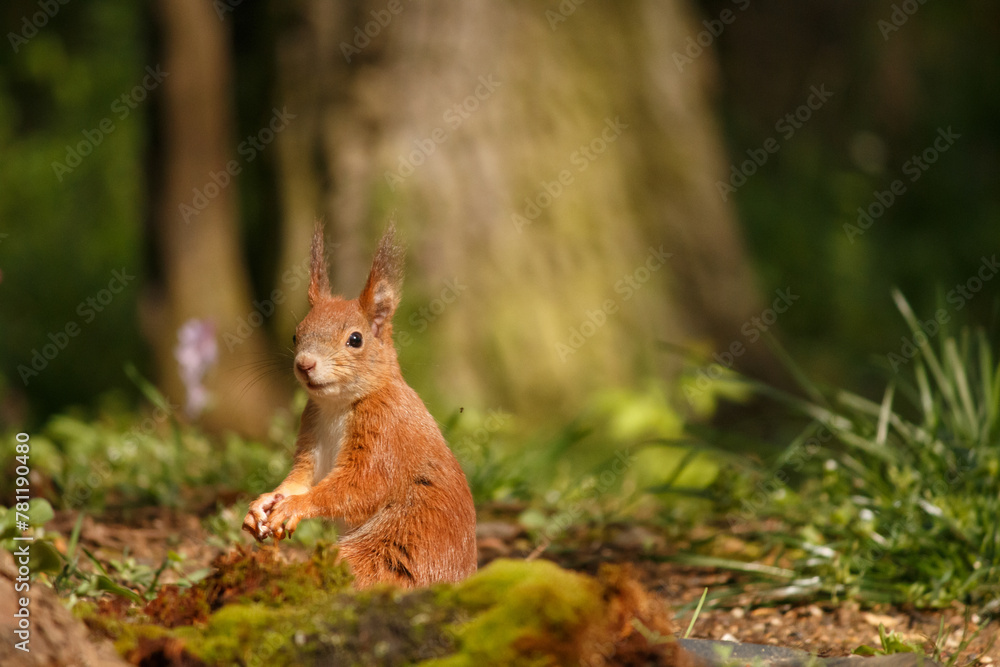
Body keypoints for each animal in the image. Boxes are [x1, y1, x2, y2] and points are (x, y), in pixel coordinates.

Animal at [242, 222, 477, 588]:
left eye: (356, 339)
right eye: (296, 334)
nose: (304, 364)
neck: (338, 406)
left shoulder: (384, 434)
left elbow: (360, 486)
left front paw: (297, 506)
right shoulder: (312, 432)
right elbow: (302, 475)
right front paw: (265, 502)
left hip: (387, 553)